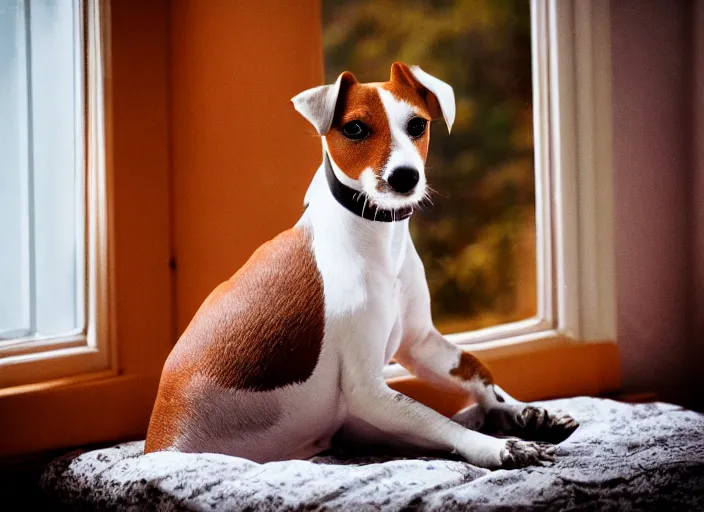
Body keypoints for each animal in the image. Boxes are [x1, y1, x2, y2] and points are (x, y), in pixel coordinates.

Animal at [144, 61, 576, 468]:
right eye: (355, 129)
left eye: (417, 125)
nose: (405, 177)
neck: (374, 237)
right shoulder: (368, 390)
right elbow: (439, 418)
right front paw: (499, 447)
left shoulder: (420, 344)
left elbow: (478, 374)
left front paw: (518, 411)